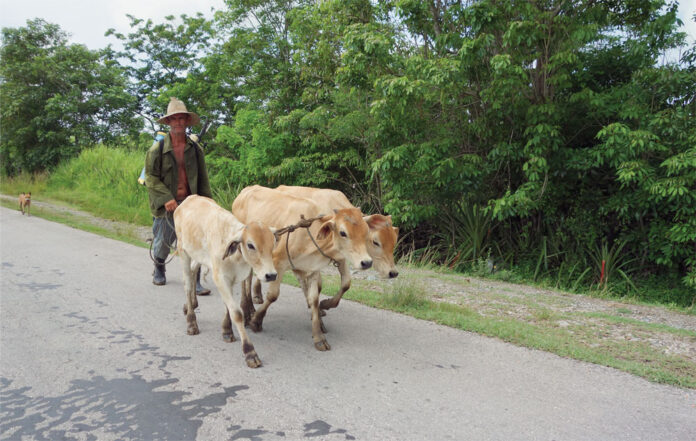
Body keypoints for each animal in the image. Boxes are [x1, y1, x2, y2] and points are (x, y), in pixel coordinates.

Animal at [174, 194, 278, 366]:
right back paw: (191, 321)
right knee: (187, 284)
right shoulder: (220, 277)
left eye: (273, 244)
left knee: (194, 269)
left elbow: (227, 306)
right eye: (251, 245)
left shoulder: (230, 278)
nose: (271, 275)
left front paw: (227, 331)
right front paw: (250, 352)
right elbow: (236, 312)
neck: (236, 258)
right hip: (183, 252)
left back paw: (191, 305)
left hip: (199, 256)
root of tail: (190, 198)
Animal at [232, 184, 376, 348]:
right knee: (246, 280)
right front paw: (256, 321)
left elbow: (314, 298)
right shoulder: (278, 264)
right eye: (343, 232)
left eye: (366, 231)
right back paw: (247, 310)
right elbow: (273, 295)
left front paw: (318, 335)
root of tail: (246, 190)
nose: (367, 262)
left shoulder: (311, 269)